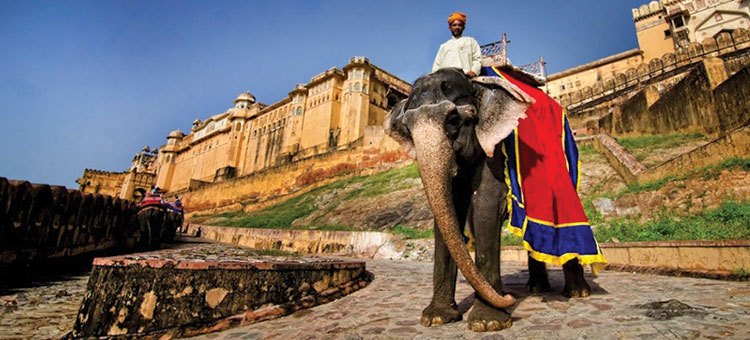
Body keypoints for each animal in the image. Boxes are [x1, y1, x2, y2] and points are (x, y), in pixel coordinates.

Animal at [388, 67, 592, 330]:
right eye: (408, 128)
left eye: (453, 120)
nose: (509, 297)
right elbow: (449, 213)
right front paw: (436, 318)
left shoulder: (493, 149)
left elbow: (486, 206)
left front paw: (488, 323)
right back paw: (537, 288)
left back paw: (577, 293)